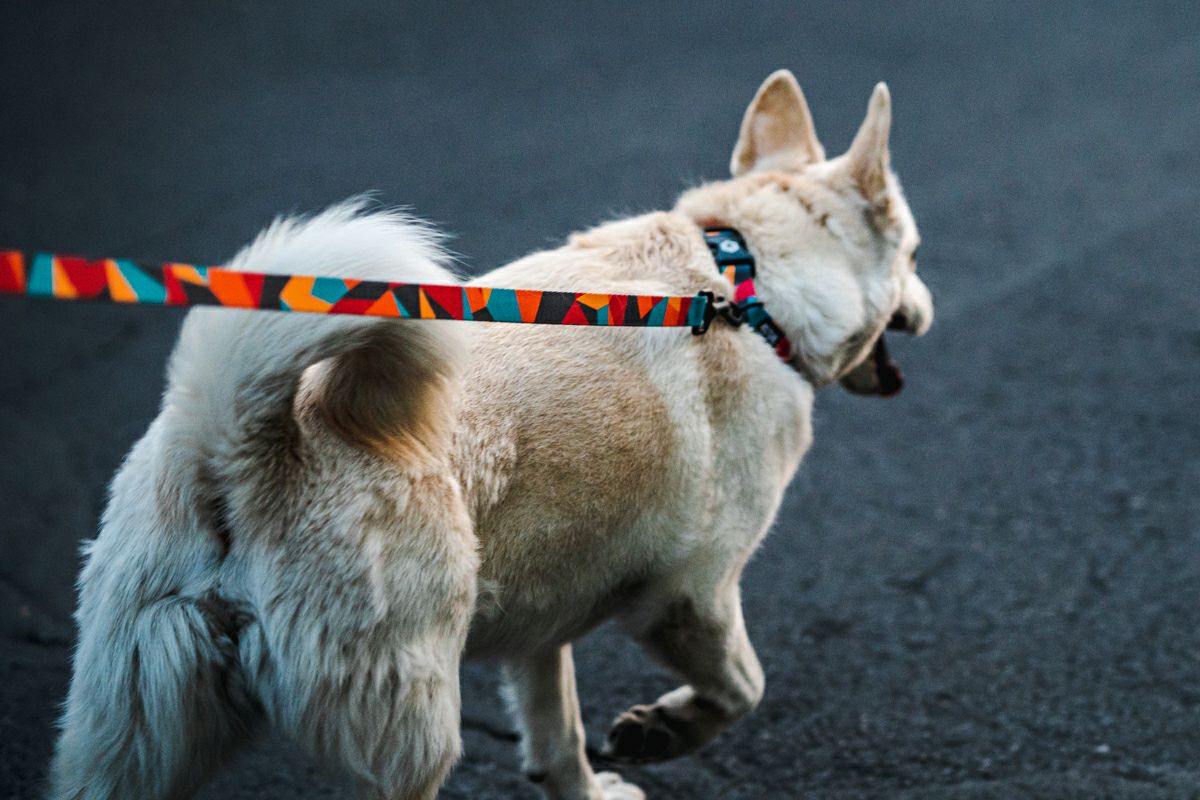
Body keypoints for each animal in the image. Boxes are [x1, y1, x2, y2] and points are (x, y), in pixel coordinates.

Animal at [49, 70, 936, 800]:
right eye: (918, 252)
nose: (929, 309)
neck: (746, 283)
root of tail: (240, 447)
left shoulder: (543, 618)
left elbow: (557, 733)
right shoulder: (691, 596)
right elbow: (742, 689)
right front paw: (663, 730)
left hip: (134, 732)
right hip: (409, 726)